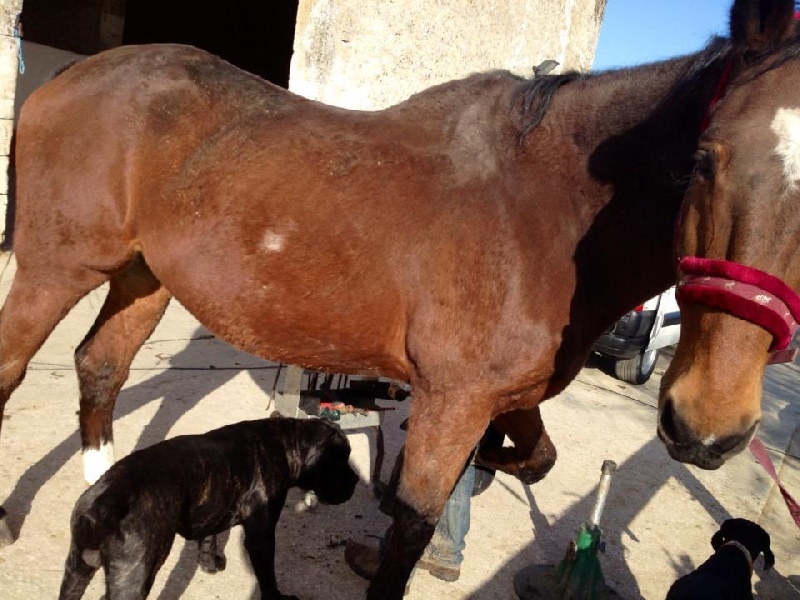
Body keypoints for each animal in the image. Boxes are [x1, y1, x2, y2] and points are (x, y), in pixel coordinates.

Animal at [56, 418, 356, 600]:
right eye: (337, 460)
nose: (354, 480)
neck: (284, 442)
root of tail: (106, 502)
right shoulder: (261, 538)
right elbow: (267, 574)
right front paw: (276, 597)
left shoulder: (212, 508)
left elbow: (208, 538)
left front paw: (209, 564)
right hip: (134, 574)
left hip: (77, 568)